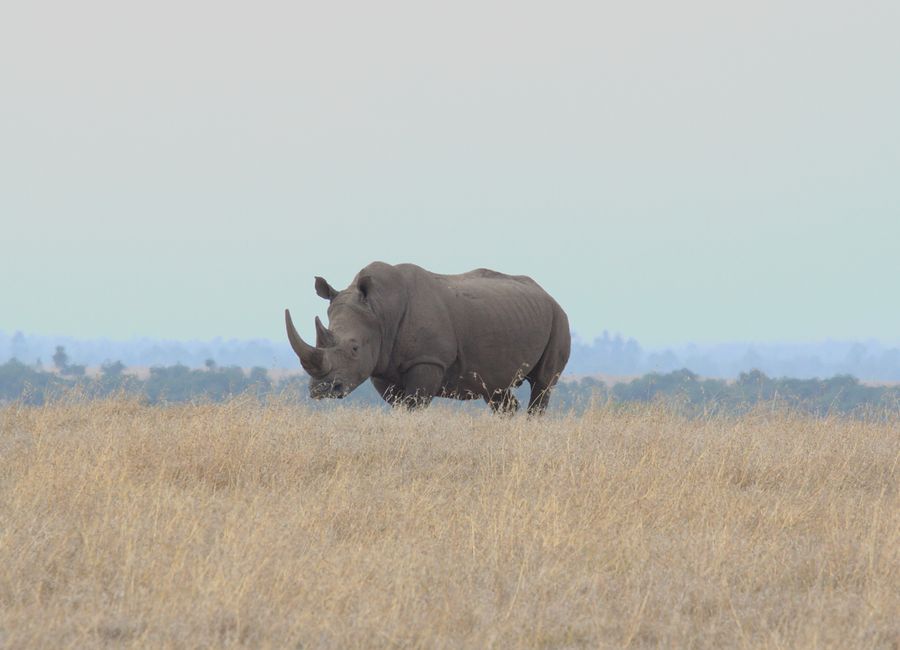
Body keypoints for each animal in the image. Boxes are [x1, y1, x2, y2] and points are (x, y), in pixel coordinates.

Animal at [285, 261, 570, 414]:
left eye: (354, 348)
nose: (321, 390)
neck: (379, 310)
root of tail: (547, 294)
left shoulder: (428, 360)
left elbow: (414, 405)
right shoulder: (382, 365)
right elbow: (400, 406)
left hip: (559, 318)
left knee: (543, 384)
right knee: (495, 390)